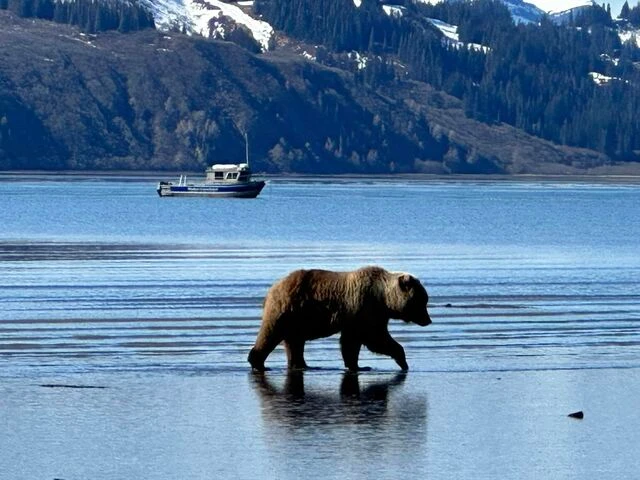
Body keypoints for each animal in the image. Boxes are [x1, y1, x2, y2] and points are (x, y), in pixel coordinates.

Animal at [248, 266, 432, 372]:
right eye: (422, 301)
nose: (428, 320)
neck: (384, 298)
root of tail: (273, 287)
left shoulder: (375, 314)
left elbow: (360, 340)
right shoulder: (363, 309)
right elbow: (371, 338)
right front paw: (401, 361)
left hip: (297, 319)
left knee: (295, 343)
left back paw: (302, 364)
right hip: (287, 309)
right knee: (271, 333)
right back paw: (258, 362)